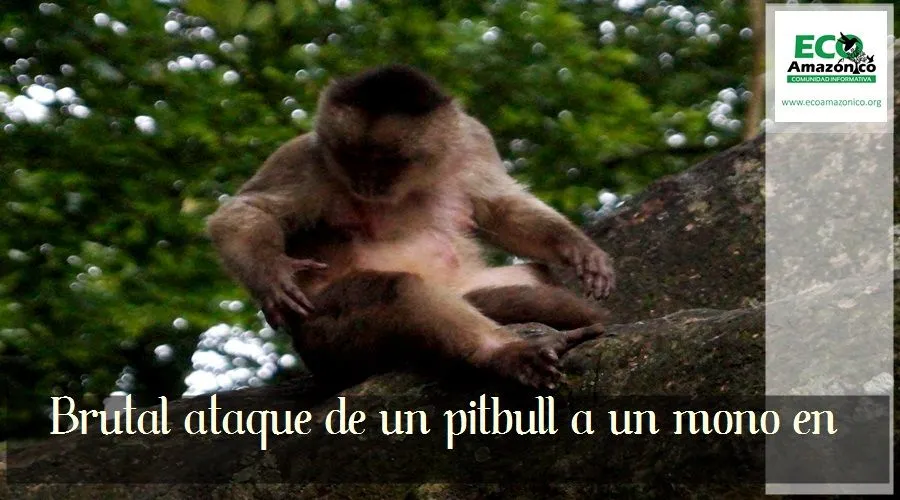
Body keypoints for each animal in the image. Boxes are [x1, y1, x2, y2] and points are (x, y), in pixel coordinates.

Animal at [207, 65, 615, 389]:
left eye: (387, 162)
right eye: (352, 158)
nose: (366, 182)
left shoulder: (472, 141)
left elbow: (501, 209)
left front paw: (579, 249)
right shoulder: (308, 157)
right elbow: (245, 211)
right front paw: (272, 275)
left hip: (467, 287)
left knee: (533, 282)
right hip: (324, 341)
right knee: (398, 291)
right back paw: (505, 353)